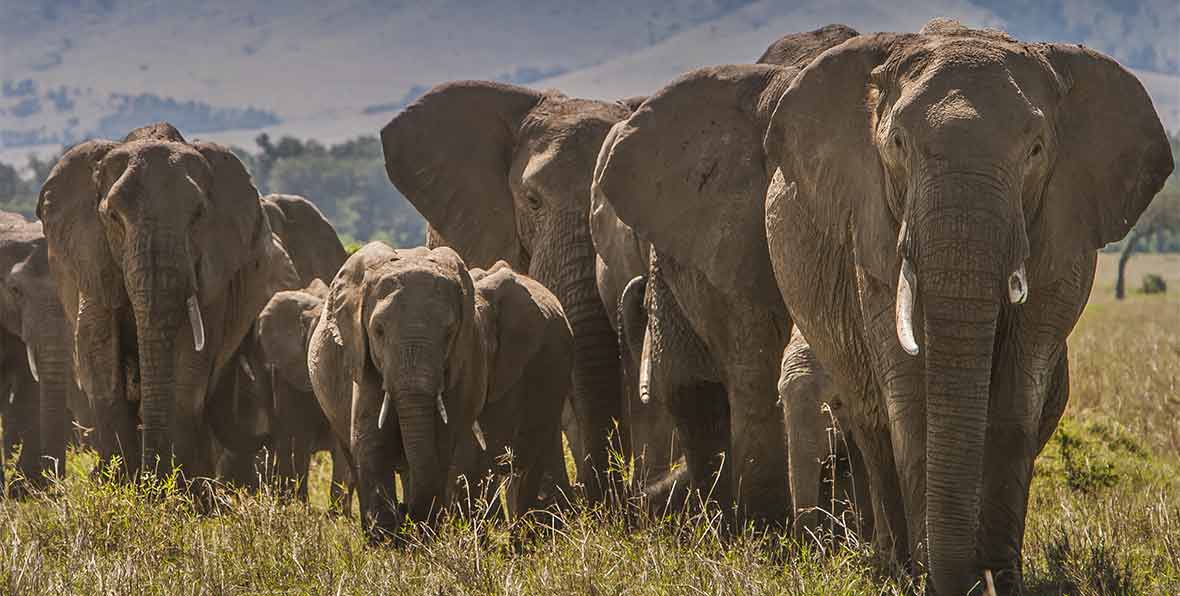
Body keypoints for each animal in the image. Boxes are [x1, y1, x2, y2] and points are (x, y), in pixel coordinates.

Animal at [36, 120, 299, 479]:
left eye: (198, 215)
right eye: (113, 216)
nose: (151, 475)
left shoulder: (212, 269)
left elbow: (192, 359)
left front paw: (168, 488)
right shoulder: (91, 255)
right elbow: (97, 350)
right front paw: (120, 483)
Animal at [309, 243, 571, 538]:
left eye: (449, 333)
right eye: (378, 331)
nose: (404, 511)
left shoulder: (466, 366)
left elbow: (446, 444)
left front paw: (419, 533)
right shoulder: (361, 356)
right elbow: (371, 442)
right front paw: (388, 539)